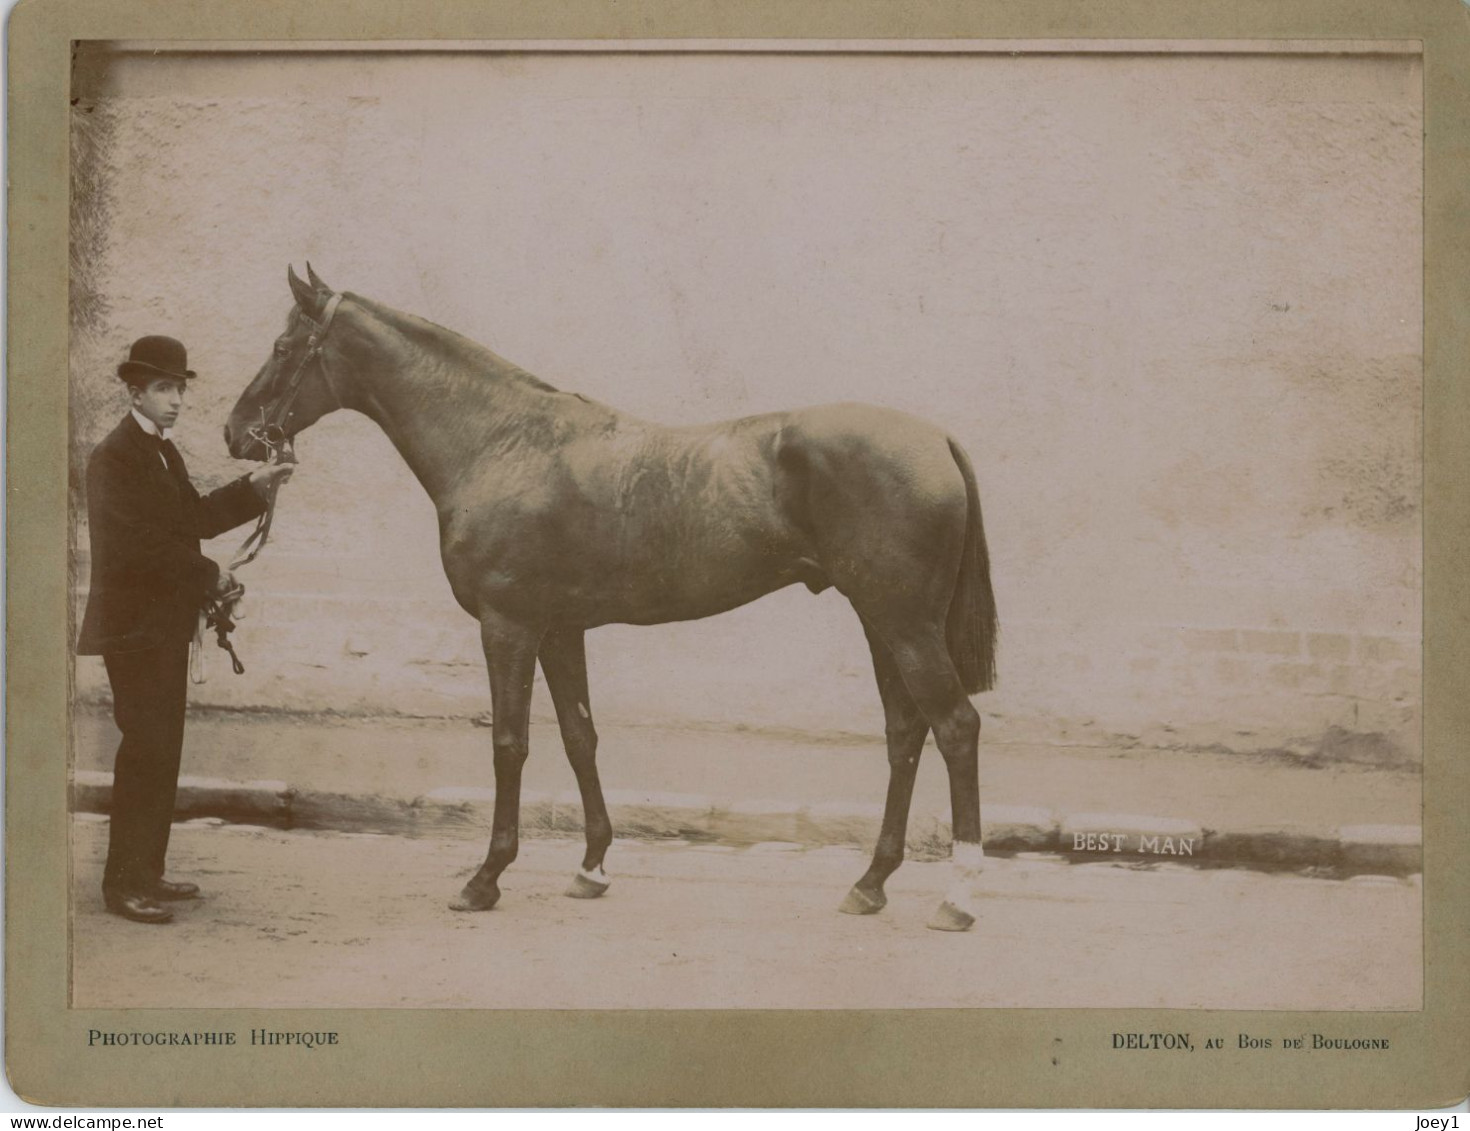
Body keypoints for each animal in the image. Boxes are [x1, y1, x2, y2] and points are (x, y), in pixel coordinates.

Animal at [223, 264, 999, 929]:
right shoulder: (560, 629)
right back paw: (870, 884)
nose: (235, 434)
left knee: (955, 727)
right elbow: (580, 737)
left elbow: (510, 743)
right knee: (905, 733)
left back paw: (957, 897)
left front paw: (485, 878)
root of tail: (937, 439)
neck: (501, 441)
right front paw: (592, 867)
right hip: (881, 622)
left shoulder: (508, 626)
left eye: (284, 346)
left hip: (903, 624)